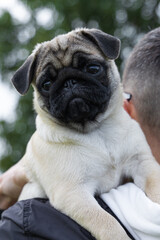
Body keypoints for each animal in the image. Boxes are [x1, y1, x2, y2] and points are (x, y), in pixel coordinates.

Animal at [10, 28, 160, 240]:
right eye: (46, 84)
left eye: (93, 68)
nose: (69, 82)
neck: (97, 131)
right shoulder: (74, 193)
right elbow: (107, 222)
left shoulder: (143, 163)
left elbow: (155, 187)